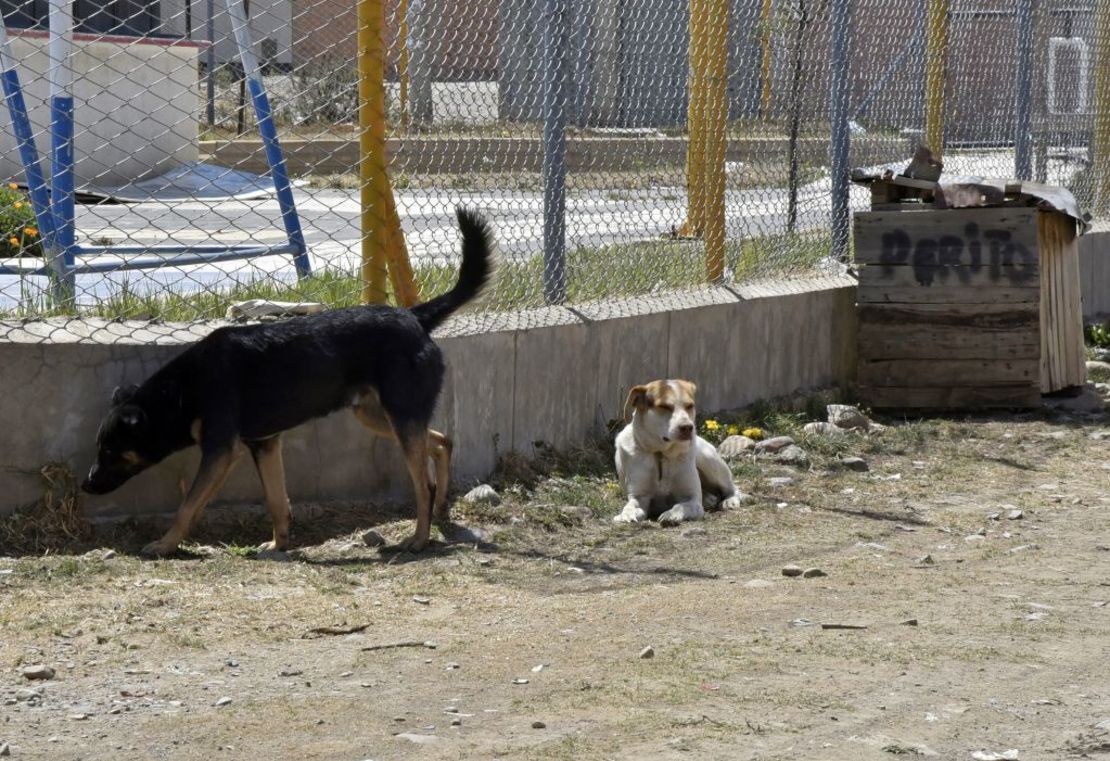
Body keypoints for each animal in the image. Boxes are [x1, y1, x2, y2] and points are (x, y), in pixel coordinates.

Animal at [80, 205, 492, 556]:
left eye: (110, 450)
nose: (86, 484)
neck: (182, 390)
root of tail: (413, 317)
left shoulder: (221, 451)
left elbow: (188, 506)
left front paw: (165, 545)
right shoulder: (265, 444)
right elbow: (277, 501)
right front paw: (279, 545)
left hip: (397, 417)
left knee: (423, 483)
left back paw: (420, 538)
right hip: (378, 416)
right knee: (441, 442)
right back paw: (442, 508)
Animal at [617, 379, 745, 528]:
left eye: (690, 406)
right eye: (664, 406)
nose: (687, 427)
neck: (662, 454)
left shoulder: (693, 500)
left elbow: (681, 505)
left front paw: (671, 514)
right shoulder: (638, 496)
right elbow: (631, 506)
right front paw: (626, 514)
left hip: (707, 459)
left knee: (733, 487)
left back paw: (730, 500)